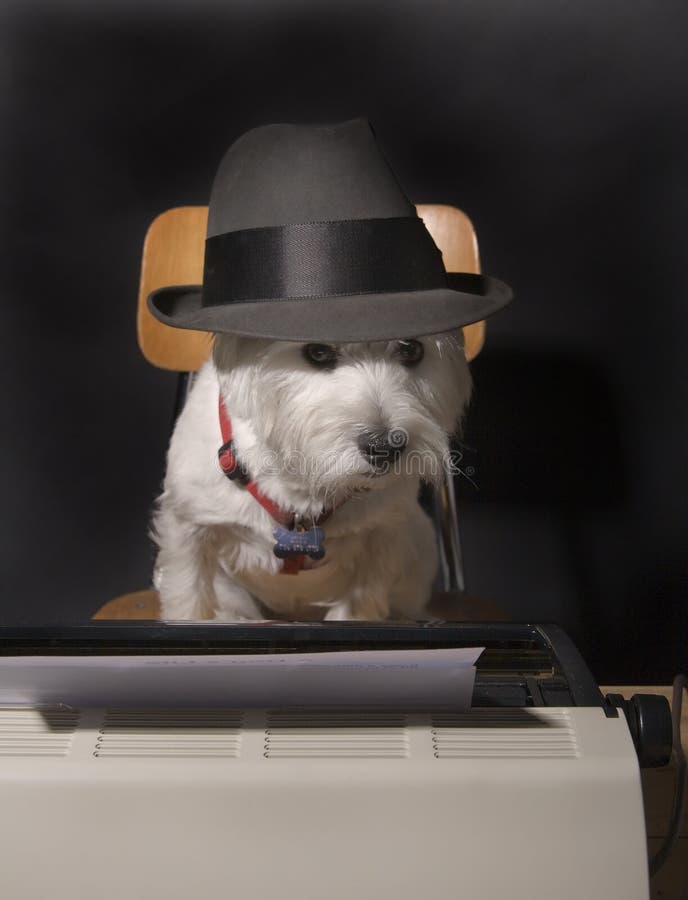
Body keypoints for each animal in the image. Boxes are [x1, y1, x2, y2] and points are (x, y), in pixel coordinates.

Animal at [153, 330, 470, 620]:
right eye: (317, 352)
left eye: (411, 349)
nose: (384, 447)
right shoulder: (189, 529)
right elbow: (189, 601)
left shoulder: (382, 538)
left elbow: (359, 610)